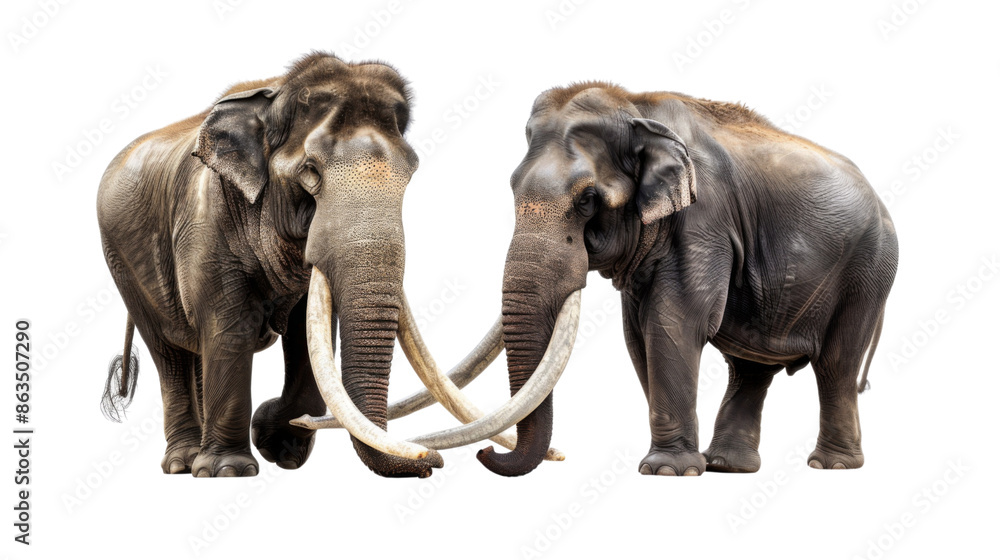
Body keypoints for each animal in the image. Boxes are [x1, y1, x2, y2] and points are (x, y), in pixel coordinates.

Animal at [476, 82, 898, 477]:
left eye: (587, 200)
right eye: (512, 188)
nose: (486, 451)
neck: (637, 108)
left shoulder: (704, 219)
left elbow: (674, 323)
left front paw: (666, 470)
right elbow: (637, 336)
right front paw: (680, 466)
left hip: (869, 270)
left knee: (836, 363)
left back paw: (833, 465)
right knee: (750, 369)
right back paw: (727, 465)